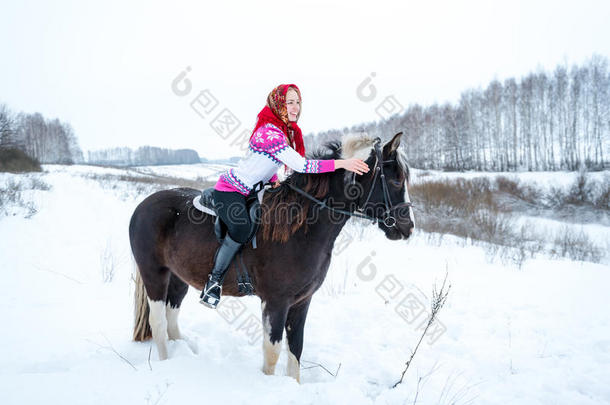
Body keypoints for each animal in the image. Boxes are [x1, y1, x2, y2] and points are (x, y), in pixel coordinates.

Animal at [128, 132, 414, 382]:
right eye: (396, 180)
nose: (408, 227)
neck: (299, 227)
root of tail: (143, 205)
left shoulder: (302, 301)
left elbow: (296, 348)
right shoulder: (276, 302)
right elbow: (272, 352)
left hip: (179, 277)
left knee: (171, 315)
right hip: (154, 273)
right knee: (158, 321)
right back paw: (167, 363)